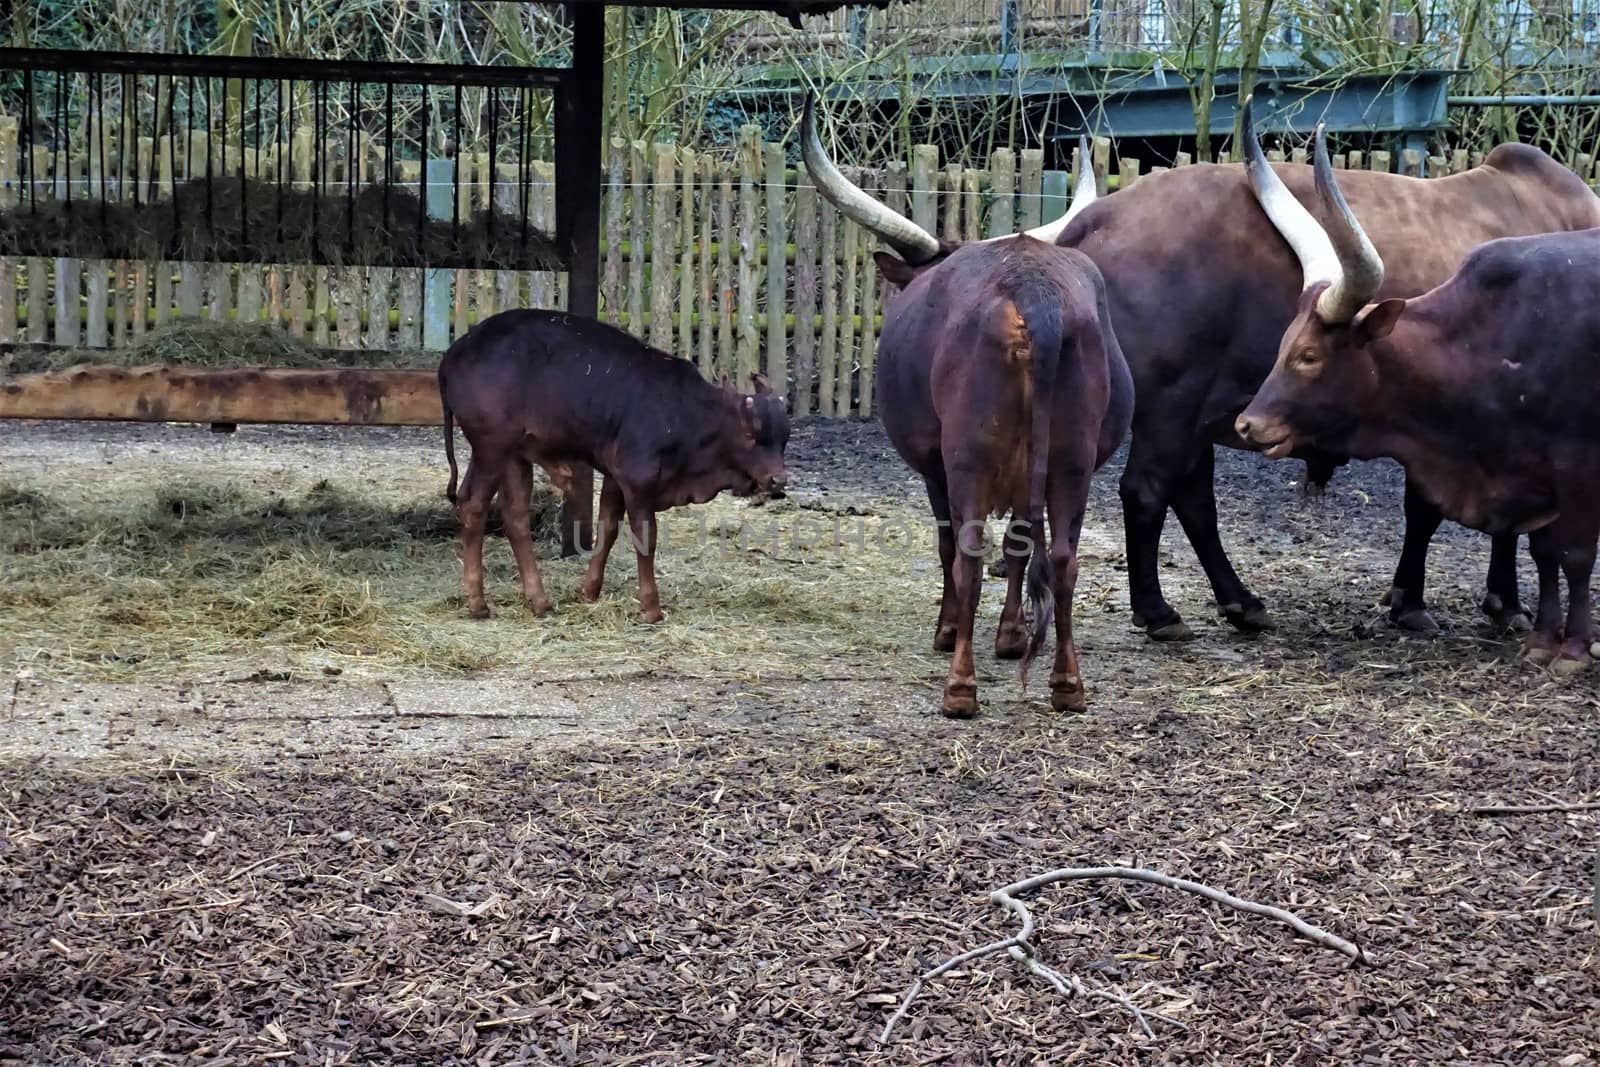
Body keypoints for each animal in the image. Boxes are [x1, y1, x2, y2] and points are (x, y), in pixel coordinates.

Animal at [441, 308, 790, 620]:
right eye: (750, 434)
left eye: (784, 437)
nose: (778, 479)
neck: (684, 414)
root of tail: (455, 353)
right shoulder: (639, 479)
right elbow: (645, 536)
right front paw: (651, 608)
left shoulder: (614, 476)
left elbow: (606, 528)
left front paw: (589, 591)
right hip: (491, 448)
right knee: (473, 505)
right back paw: (478, 604)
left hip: (515, 455)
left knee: (515, 517)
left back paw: (539, 601)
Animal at [806, 95, 1600, 639]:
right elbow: (1443, 509)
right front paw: (1454, 601)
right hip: (1173, 405)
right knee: (1151, 491)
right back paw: (1161, 609)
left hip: (1185, 410)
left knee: (1182, 497)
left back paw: (1235, 600)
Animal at [806, 99, 1132, 716]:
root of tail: (1033, 292)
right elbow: (1020, 546)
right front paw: (1009, 636)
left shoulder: (936, 468)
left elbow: (948, 545)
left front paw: (950, 627)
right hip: (1073, 462)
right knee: (1061, 558)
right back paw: (1067, 685)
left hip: (967, 457)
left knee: (969, 554)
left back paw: (960, 688)